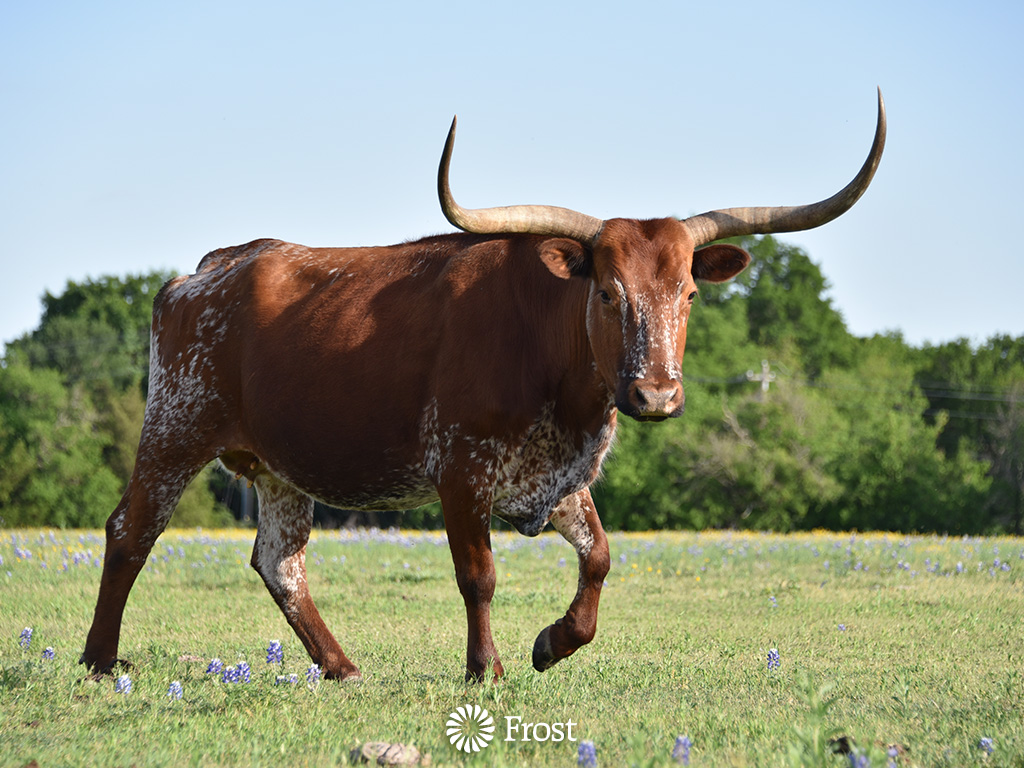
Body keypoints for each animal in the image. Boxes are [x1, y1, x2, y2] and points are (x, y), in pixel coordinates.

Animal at [81, 90, 885, 681]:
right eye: (607, 292)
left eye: (687, 292)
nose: (655, 395)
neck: (562, 378)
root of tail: (209, 268)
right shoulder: (461, 472)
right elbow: (480, 576)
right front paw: (486, 667)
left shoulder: (556, 478)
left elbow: (599, 558)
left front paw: (552, 643)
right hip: (176, 429)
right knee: (130, 532)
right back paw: (99, 660)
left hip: (277, 466)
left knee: (280, 562)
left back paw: (341, 668)